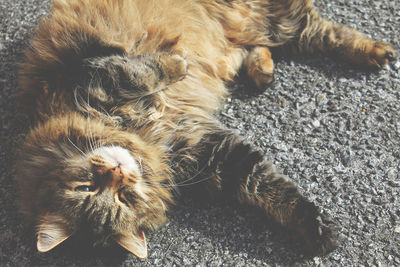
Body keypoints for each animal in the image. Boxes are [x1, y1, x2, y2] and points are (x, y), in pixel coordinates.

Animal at [14, 0, 394, 260]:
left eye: (90, 187)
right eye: (116, 194)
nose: (117, 172)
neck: (142, 135)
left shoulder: (96, 73)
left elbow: (143, 71)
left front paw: (178, 62)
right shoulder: (209, 151)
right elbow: (267, 188)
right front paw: (314, 230)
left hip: (274, 18)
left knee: (321, 28)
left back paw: (377, 51)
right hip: (262, 28)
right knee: (287, 39)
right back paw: (263, 71)